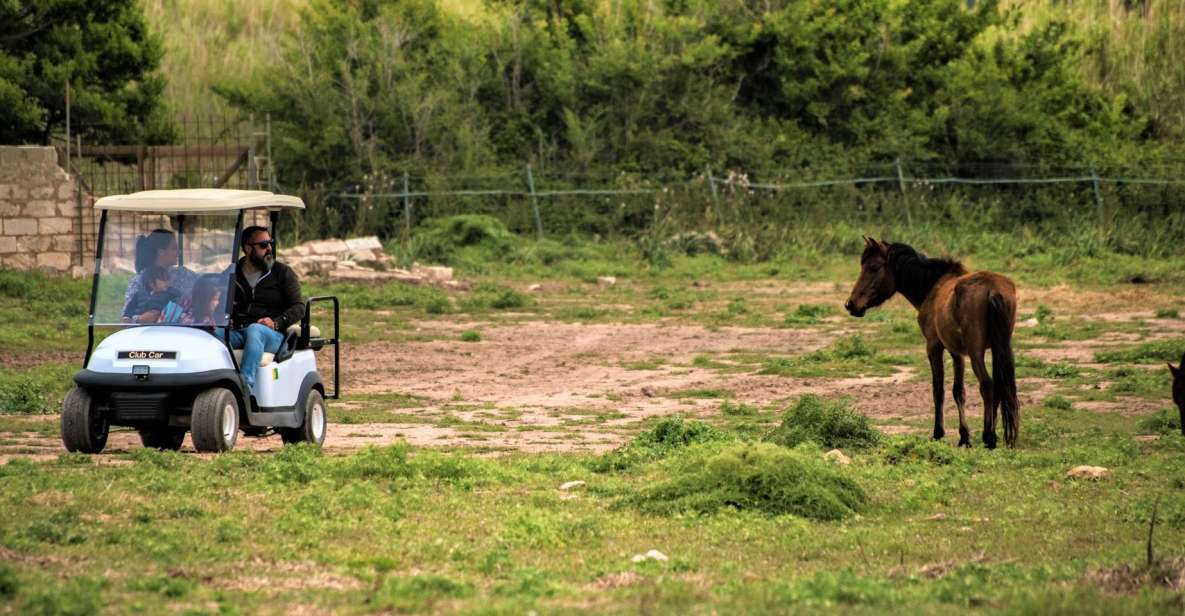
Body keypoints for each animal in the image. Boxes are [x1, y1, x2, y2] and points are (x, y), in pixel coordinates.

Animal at [843, 236, 1019, 447]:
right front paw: (964, 436)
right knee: (999, 386)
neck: (933, 287)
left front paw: (938, 432)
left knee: (987, 385)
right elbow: (958, 391)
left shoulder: (934, 347)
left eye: (874, 267)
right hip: (1000, 348)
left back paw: (989, 437)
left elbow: (938, 390)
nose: (851, 304)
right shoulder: (956, 352)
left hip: (976, 352)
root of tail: (992, 290)